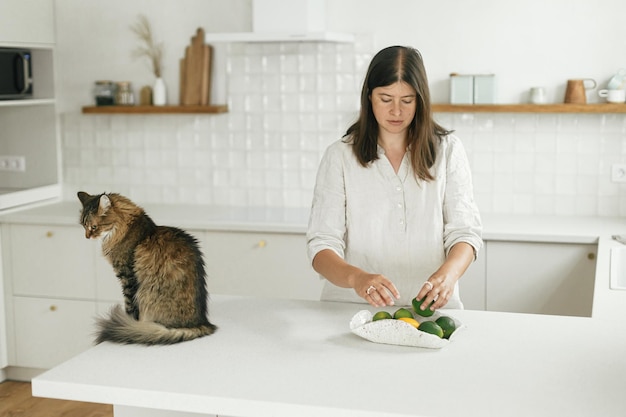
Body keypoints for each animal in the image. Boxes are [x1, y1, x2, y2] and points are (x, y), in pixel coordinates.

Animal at [77, 190, 217, 342]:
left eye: (93, 227)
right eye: (83, 226)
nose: (87, 236)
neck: (125, 229)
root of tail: (201, 323)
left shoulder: (127, 277)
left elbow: (130, 307)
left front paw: (129, 321)